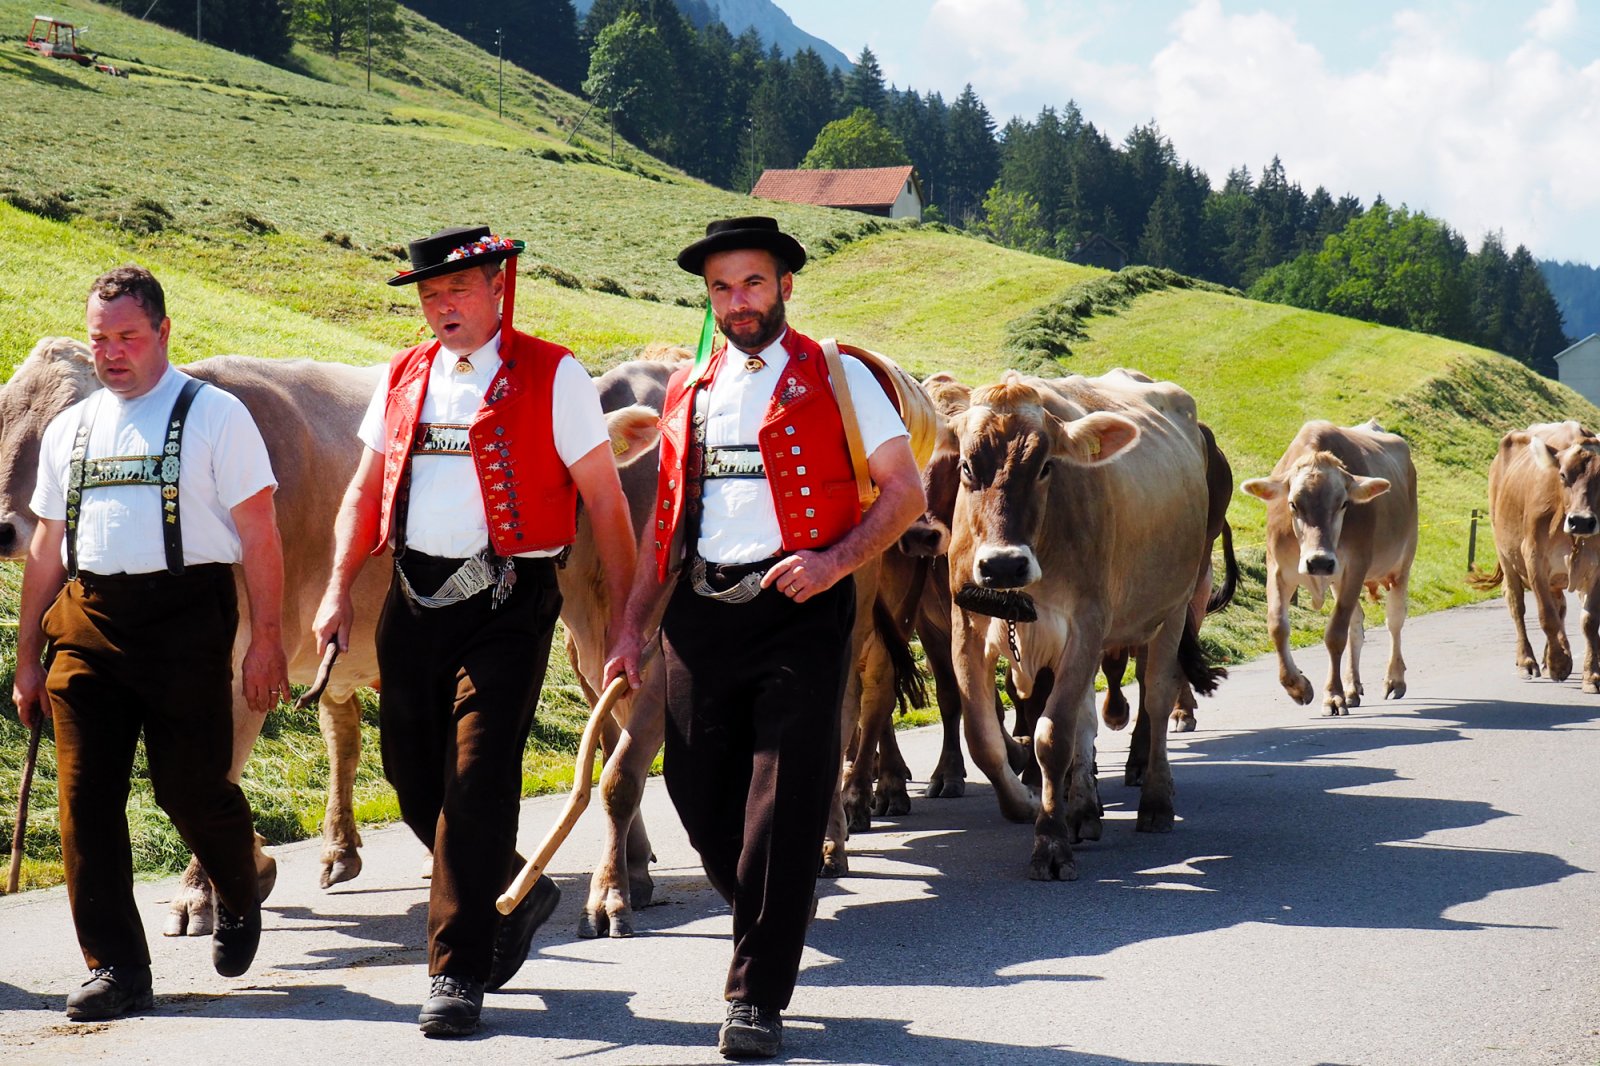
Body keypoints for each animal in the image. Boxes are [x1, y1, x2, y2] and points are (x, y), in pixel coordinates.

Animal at [940, 369, 1216, 877]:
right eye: (967, 467)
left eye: (1046, 466)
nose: (1004, 565)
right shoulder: (966, 627)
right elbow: (983, 738)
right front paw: (1028, 805)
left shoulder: (1086, 624)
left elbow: (1053, 735)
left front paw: (1049, 841)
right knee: (1089, 717)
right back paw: (1084, 811)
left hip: (1173, 607)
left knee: (1158, 700)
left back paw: (1156, 803)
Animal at [1241, 419, 1420, 710]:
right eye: (1293, 504)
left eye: (1344, 503)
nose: (1319, 561)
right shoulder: (1278, 569)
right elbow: (1277, 626)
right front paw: (1297, 686)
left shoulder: (1354, 569)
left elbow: (1335, 634)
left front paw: (1333, 694)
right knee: (1357, 626)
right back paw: (1352, 687)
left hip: (1401, 565)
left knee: (1394, 620)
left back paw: (1394, 680)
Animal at [1472, 419, 1600, 685]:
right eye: (1562, 475)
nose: (1581, 522)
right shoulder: (1534, 557)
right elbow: (1546, 616)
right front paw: (1559, 663)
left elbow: (1589, 620)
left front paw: (1591, 674)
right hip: (1505, 553)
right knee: (1516, 604)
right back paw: (1528, 661)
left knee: (1559, 604)